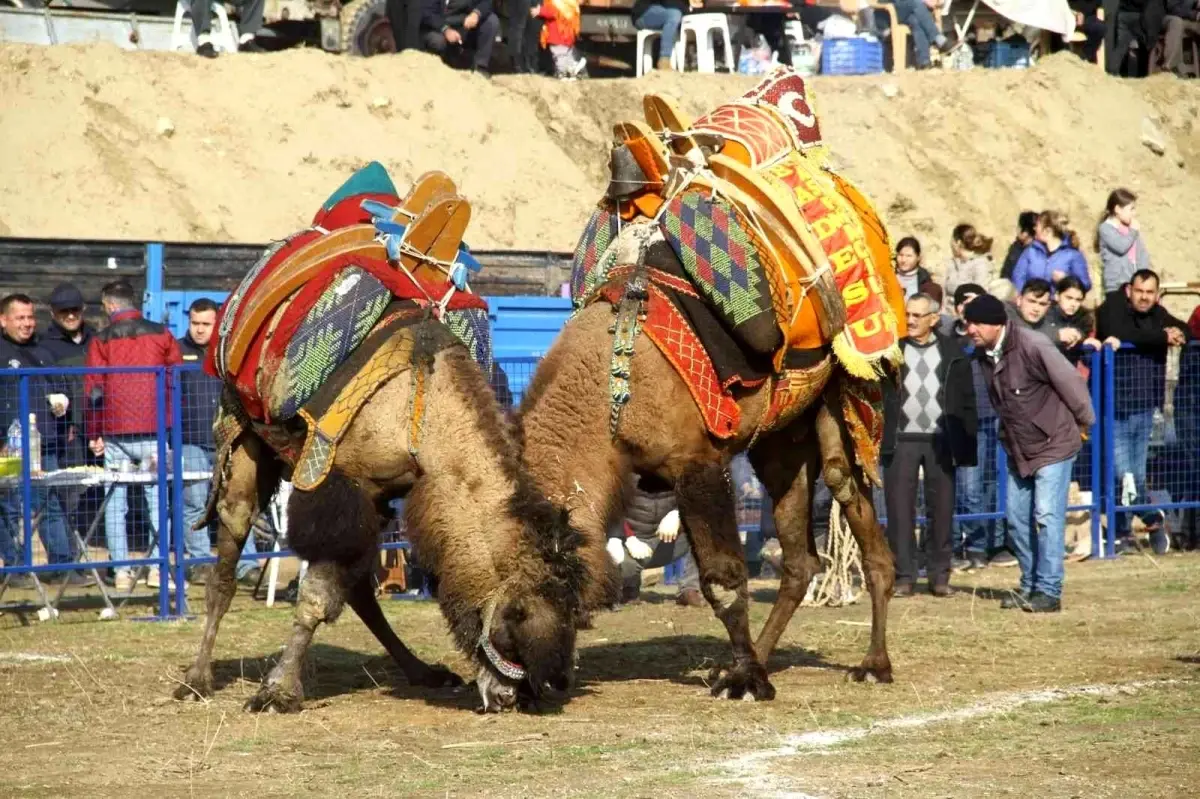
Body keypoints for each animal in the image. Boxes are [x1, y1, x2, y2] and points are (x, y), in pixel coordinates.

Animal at [175, 163, 588, 710]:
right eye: (518, 613)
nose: (519, 693)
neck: (418, 406)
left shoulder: (382, 495)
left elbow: (348, 588)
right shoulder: (332, 481)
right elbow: (315, 596)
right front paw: (278, 691)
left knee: (359, 591)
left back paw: (422, 670)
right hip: (241, 434)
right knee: (226, 557)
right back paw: (196, 676)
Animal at [516, 71, 902, 700]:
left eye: (527, 598)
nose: (509, 684)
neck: (612, 390)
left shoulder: (697, 463)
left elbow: (723, 579)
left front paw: (747, 680)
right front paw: (745, 671)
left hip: (844, 396)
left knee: (856, 509)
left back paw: (873, 662)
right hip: (779, 437)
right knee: (800, 560)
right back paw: (765, 657)